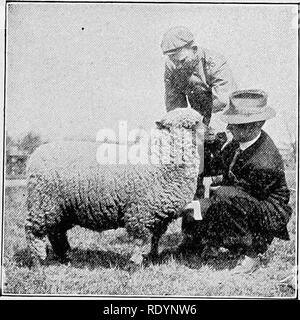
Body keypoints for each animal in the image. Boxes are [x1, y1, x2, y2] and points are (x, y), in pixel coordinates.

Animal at [25, 107, 204, 264]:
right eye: (191, 125)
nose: (210, 133)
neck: (158, 158)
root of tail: (36, 153)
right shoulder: (140, 212)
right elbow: (140, 239)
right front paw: (135, 262)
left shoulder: (159, 215)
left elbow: (155, 238)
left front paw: (152, 257)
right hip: (42, 203)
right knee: (34, 231)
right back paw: (38, 261)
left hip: (61, 208)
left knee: (56, 233)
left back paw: (65, 257)